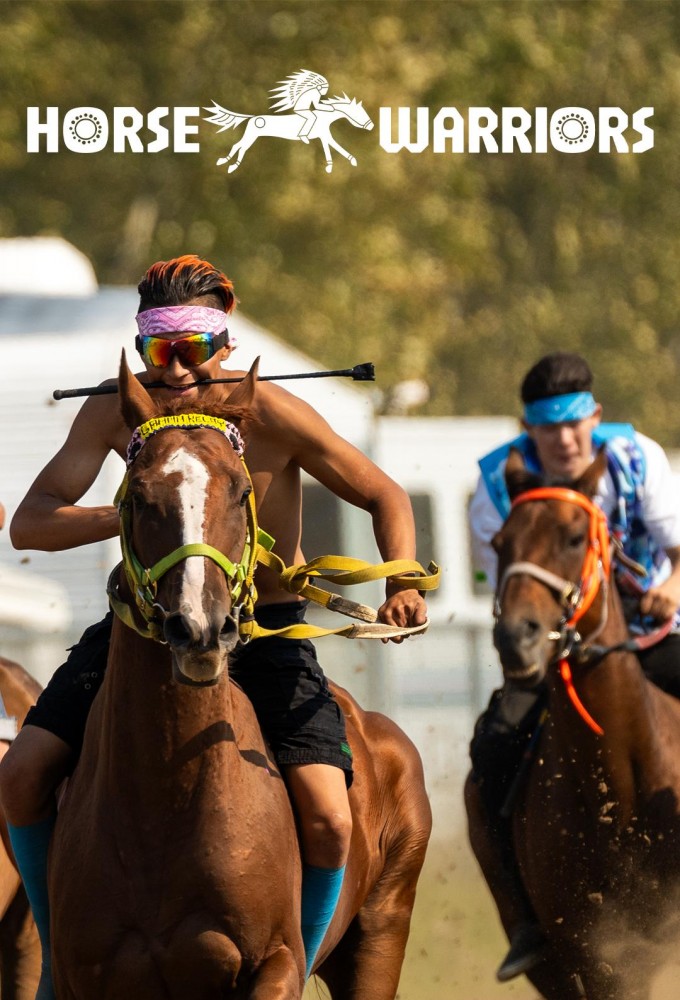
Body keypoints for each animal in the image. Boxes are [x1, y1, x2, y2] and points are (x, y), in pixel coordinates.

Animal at [205, 95, 374, 174]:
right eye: (360, 111)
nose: (372, 126)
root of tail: (252, 117)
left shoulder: (323, 135)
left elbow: (329, 148)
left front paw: (330, 167)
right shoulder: (325, 135)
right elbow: (336, 147)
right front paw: (351, 161)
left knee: (240, 147)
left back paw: (228, 164)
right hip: (251, 136)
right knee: (239, 146)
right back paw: (229, 164)